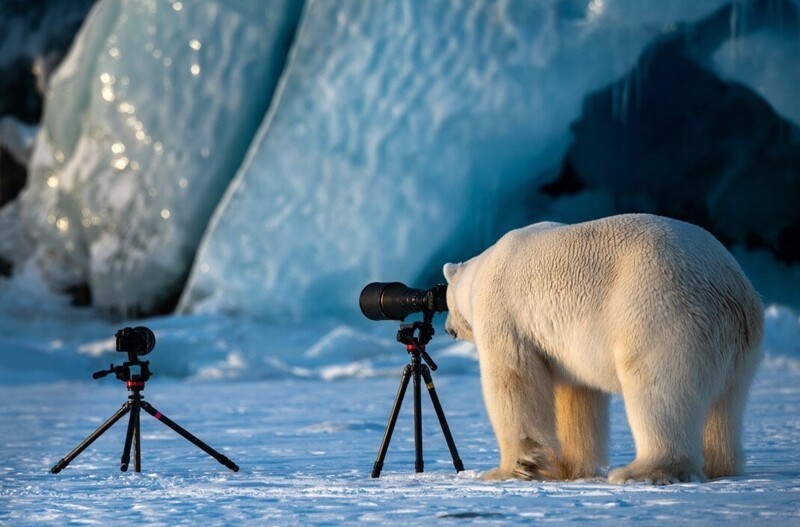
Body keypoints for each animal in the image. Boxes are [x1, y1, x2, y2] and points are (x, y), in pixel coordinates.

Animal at [444, 213, 764, 482]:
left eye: (445, 301)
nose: (447, 329)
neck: (480, 271)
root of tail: (729, 286)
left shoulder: (504, 314)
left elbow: (513, 380)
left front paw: (509, 470)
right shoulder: (565, 347)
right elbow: (576, 396)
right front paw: (569, 469)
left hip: (662, 312)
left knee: (658, 391)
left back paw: (641, 471)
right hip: (738, 346)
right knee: (726, 405)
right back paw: (721, 467)